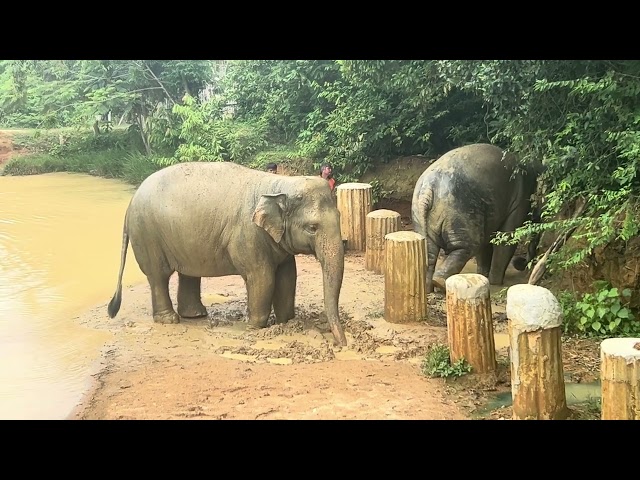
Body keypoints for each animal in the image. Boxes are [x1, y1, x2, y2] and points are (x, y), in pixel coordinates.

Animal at [110, 161, 350, 344]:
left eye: (340, 218)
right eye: (312, 228)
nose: (341, 344)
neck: (278, 185)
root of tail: (130, 203)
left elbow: (288, 277)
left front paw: (287, 322)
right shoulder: (247, 234)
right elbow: (262, 278)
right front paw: (254, 327)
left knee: (188, 273)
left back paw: (196, 315)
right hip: (147, 234)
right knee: (158, 276)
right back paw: (169, 320)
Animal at [410, 142, 540, 292]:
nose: (519, 262)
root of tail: (429, 188)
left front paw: (484, 275)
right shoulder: (518, 201)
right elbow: (506, 239)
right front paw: (496, 282)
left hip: (420, 215)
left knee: (430, 251)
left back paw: (428, 287)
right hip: (460, 212)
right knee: (469, 245)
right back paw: (439, 283)